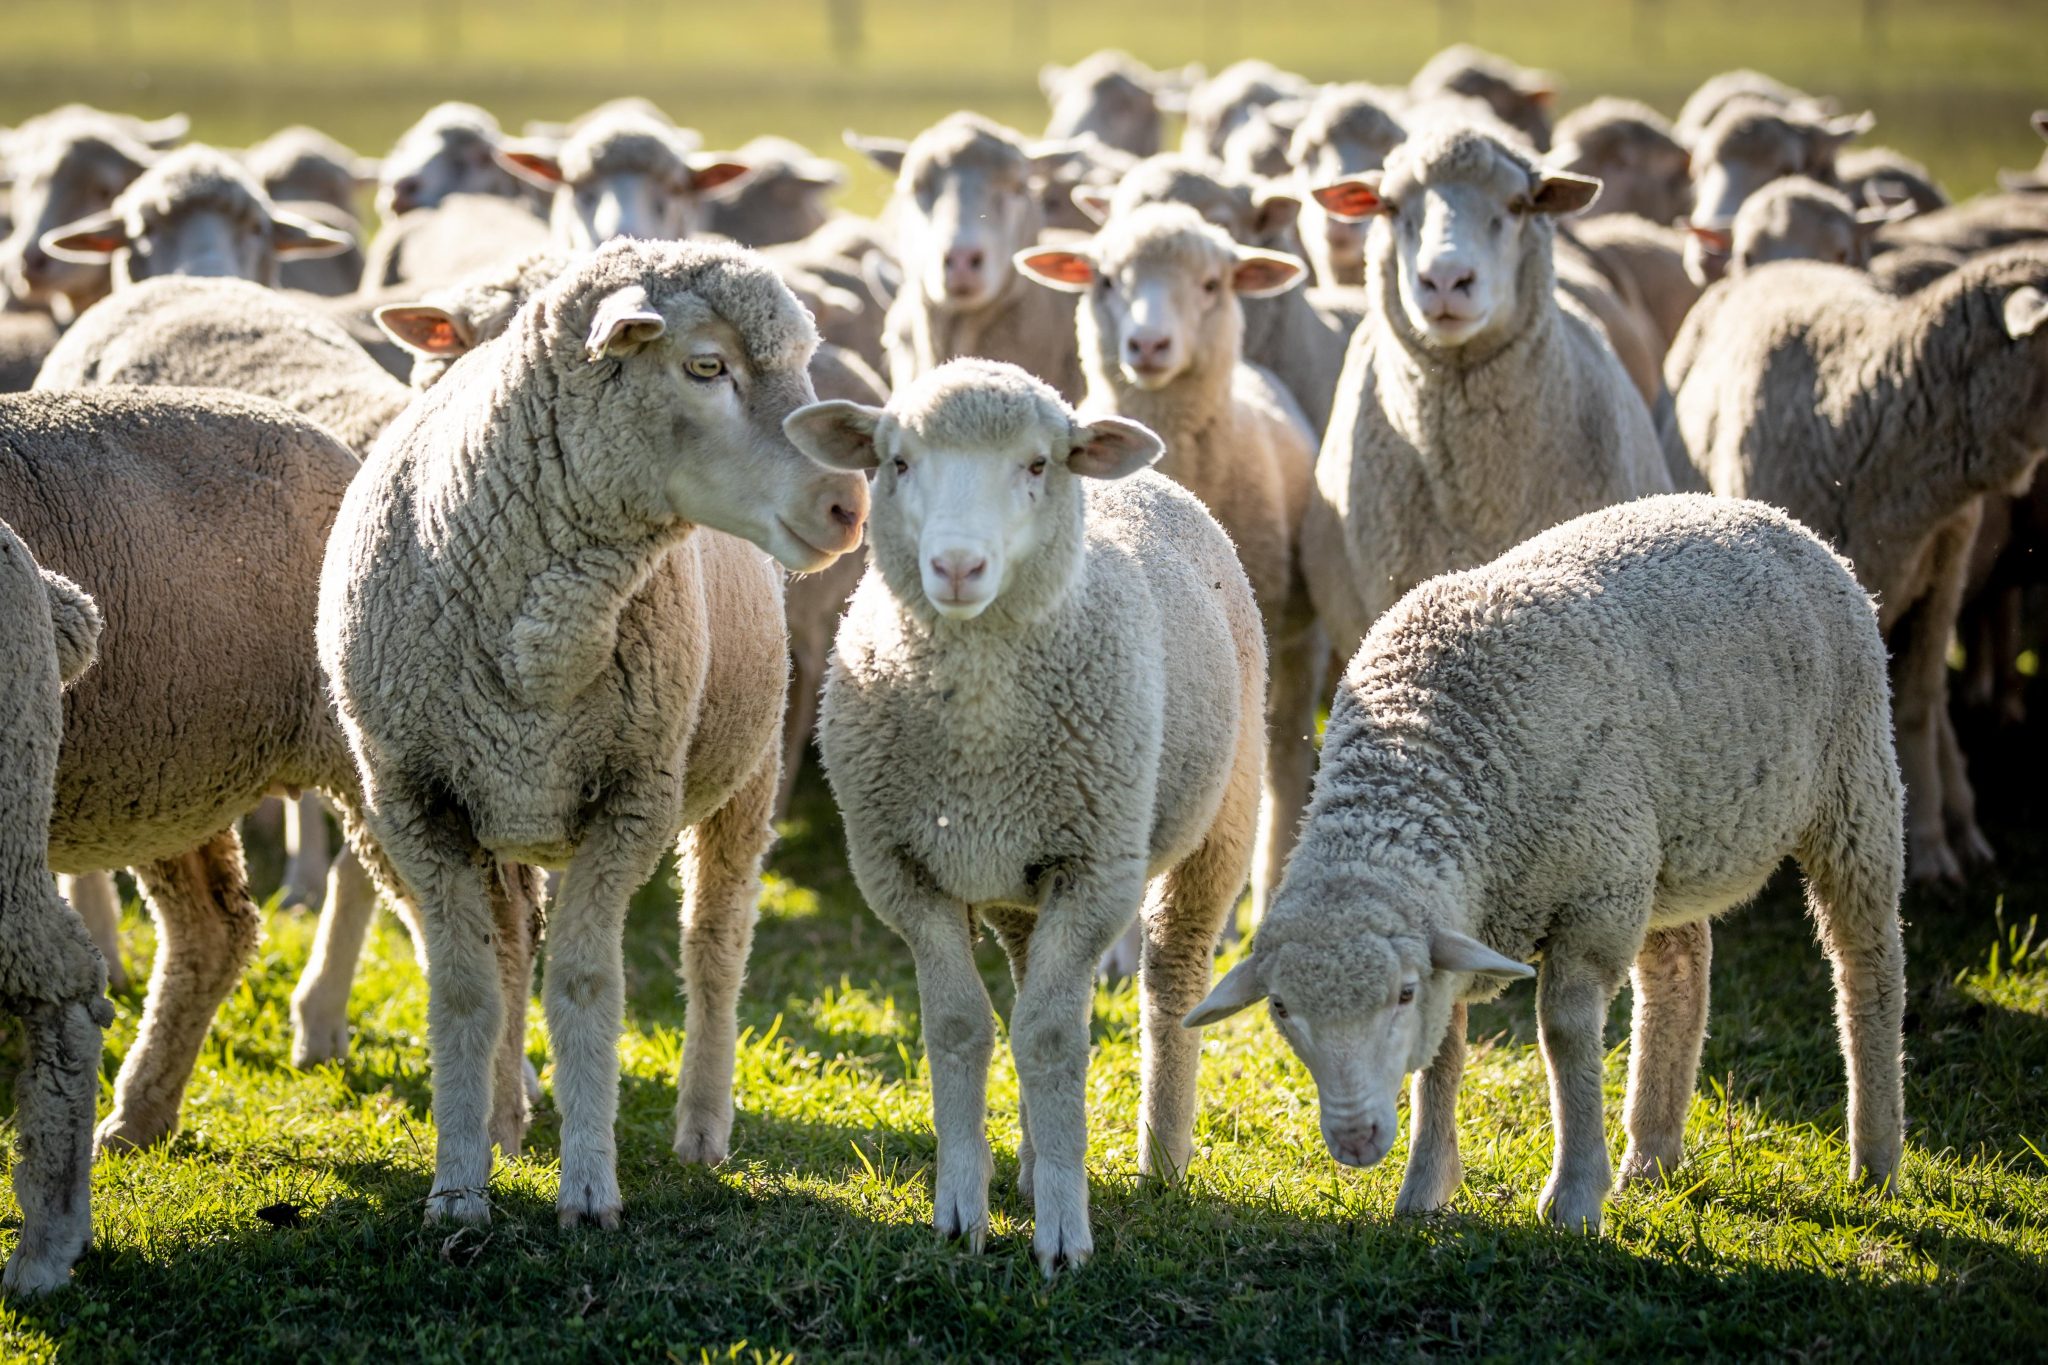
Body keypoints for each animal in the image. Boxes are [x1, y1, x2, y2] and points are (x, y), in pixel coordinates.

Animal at [320, 238, 868, 1228]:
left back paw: (701, 1124)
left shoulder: (632, 799)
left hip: (748, 768)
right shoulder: (414, 800)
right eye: (706, 366)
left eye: (805, 366)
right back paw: (503, 1117)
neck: (539, 637)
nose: (851, 505)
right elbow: (467, 986)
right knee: (509, 947)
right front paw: (457, 1185)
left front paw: (587, 1187)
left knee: (715, 944)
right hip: (501, 808)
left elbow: (583, 983)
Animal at [797, 358, 1265, 1274]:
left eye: (1038, 464)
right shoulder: (900, 869)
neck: (981, 722)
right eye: (896, 461)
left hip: (1222, 817)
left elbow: (1052, 1039)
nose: (956, 565)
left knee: (1172, 974)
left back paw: (1163, 1155)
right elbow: (961, 1027)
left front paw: (1063, 1231)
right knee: (1018, 983)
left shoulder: (1096, 871)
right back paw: (1028, 1157)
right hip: (1017, 874)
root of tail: (1147, 478)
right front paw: (961, 1209)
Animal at [1186, 494, 1906, 1234]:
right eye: (1280, 1007)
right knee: (1679, 970)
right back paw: (1651, 1153)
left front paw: (1575, 1196)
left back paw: (1875, 1159)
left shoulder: (1594, 900)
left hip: (1854, 783)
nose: (1357, 1141)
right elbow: (1444, 1053)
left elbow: (1563, 1033)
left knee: (1867, 964)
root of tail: (1765, 514)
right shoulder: (1487, 914)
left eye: (1403, 994)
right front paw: (1424, 1187)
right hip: (1662, 845)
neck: (1420, 740)